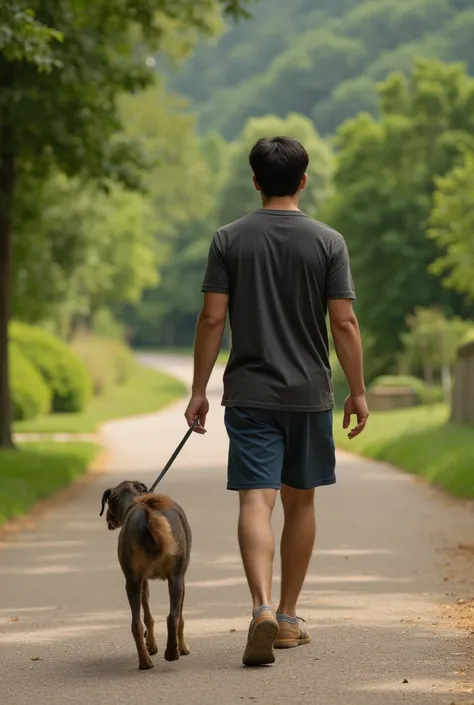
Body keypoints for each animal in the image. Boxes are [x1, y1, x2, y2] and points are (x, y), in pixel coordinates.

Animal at [99, 478, 192, 672]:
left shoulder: (142, 581)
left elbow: (147, 615)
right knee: (173, 617)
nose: (108, 519)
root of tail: (149, 515)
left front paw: (151, 644)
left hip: (133, 582)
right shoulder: (181, 578)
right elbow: (180, 617)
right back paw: (172, 654)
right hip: (176, 579)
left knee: (136, 624)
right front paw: (183, 647)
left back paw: (145, 661)